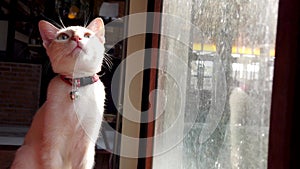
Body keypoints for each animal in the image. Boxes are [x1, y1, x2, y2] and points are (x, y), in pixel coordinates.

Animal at [10, 17, 106, 169]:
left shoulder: (85, 145)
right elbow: (53, 163)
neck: (76, 83)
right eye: (63, 37)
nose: (77, 38)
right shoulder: (54, 142)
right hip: (25, 154)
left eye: (87, 35)